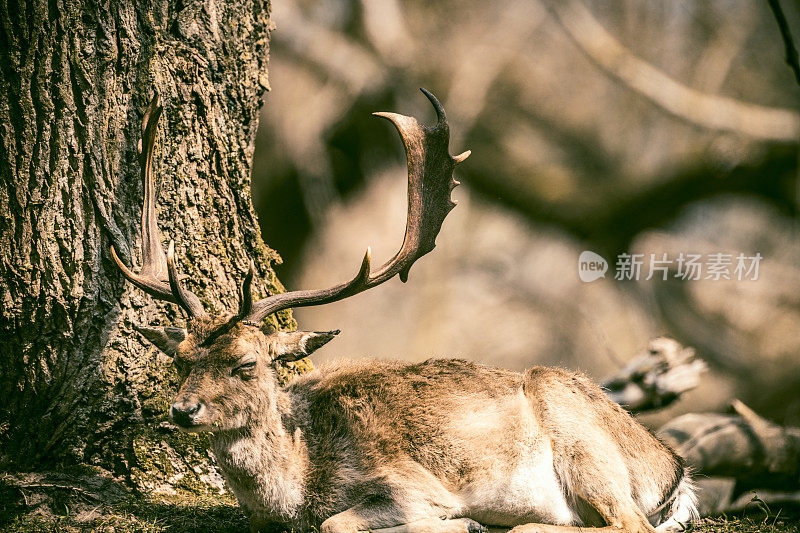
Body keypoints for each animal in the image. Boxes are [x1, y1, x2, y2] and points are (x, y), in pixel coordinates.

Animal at [111, 91, 692, 532]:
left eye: (247, 364)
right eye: (181, 359)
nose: (181, 410)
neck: (300, 486)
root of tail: (674, 467)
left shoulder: (410, 483)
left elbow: (337, 522)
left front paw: (463, 523)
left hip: (581, 439)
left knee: (627, 524)